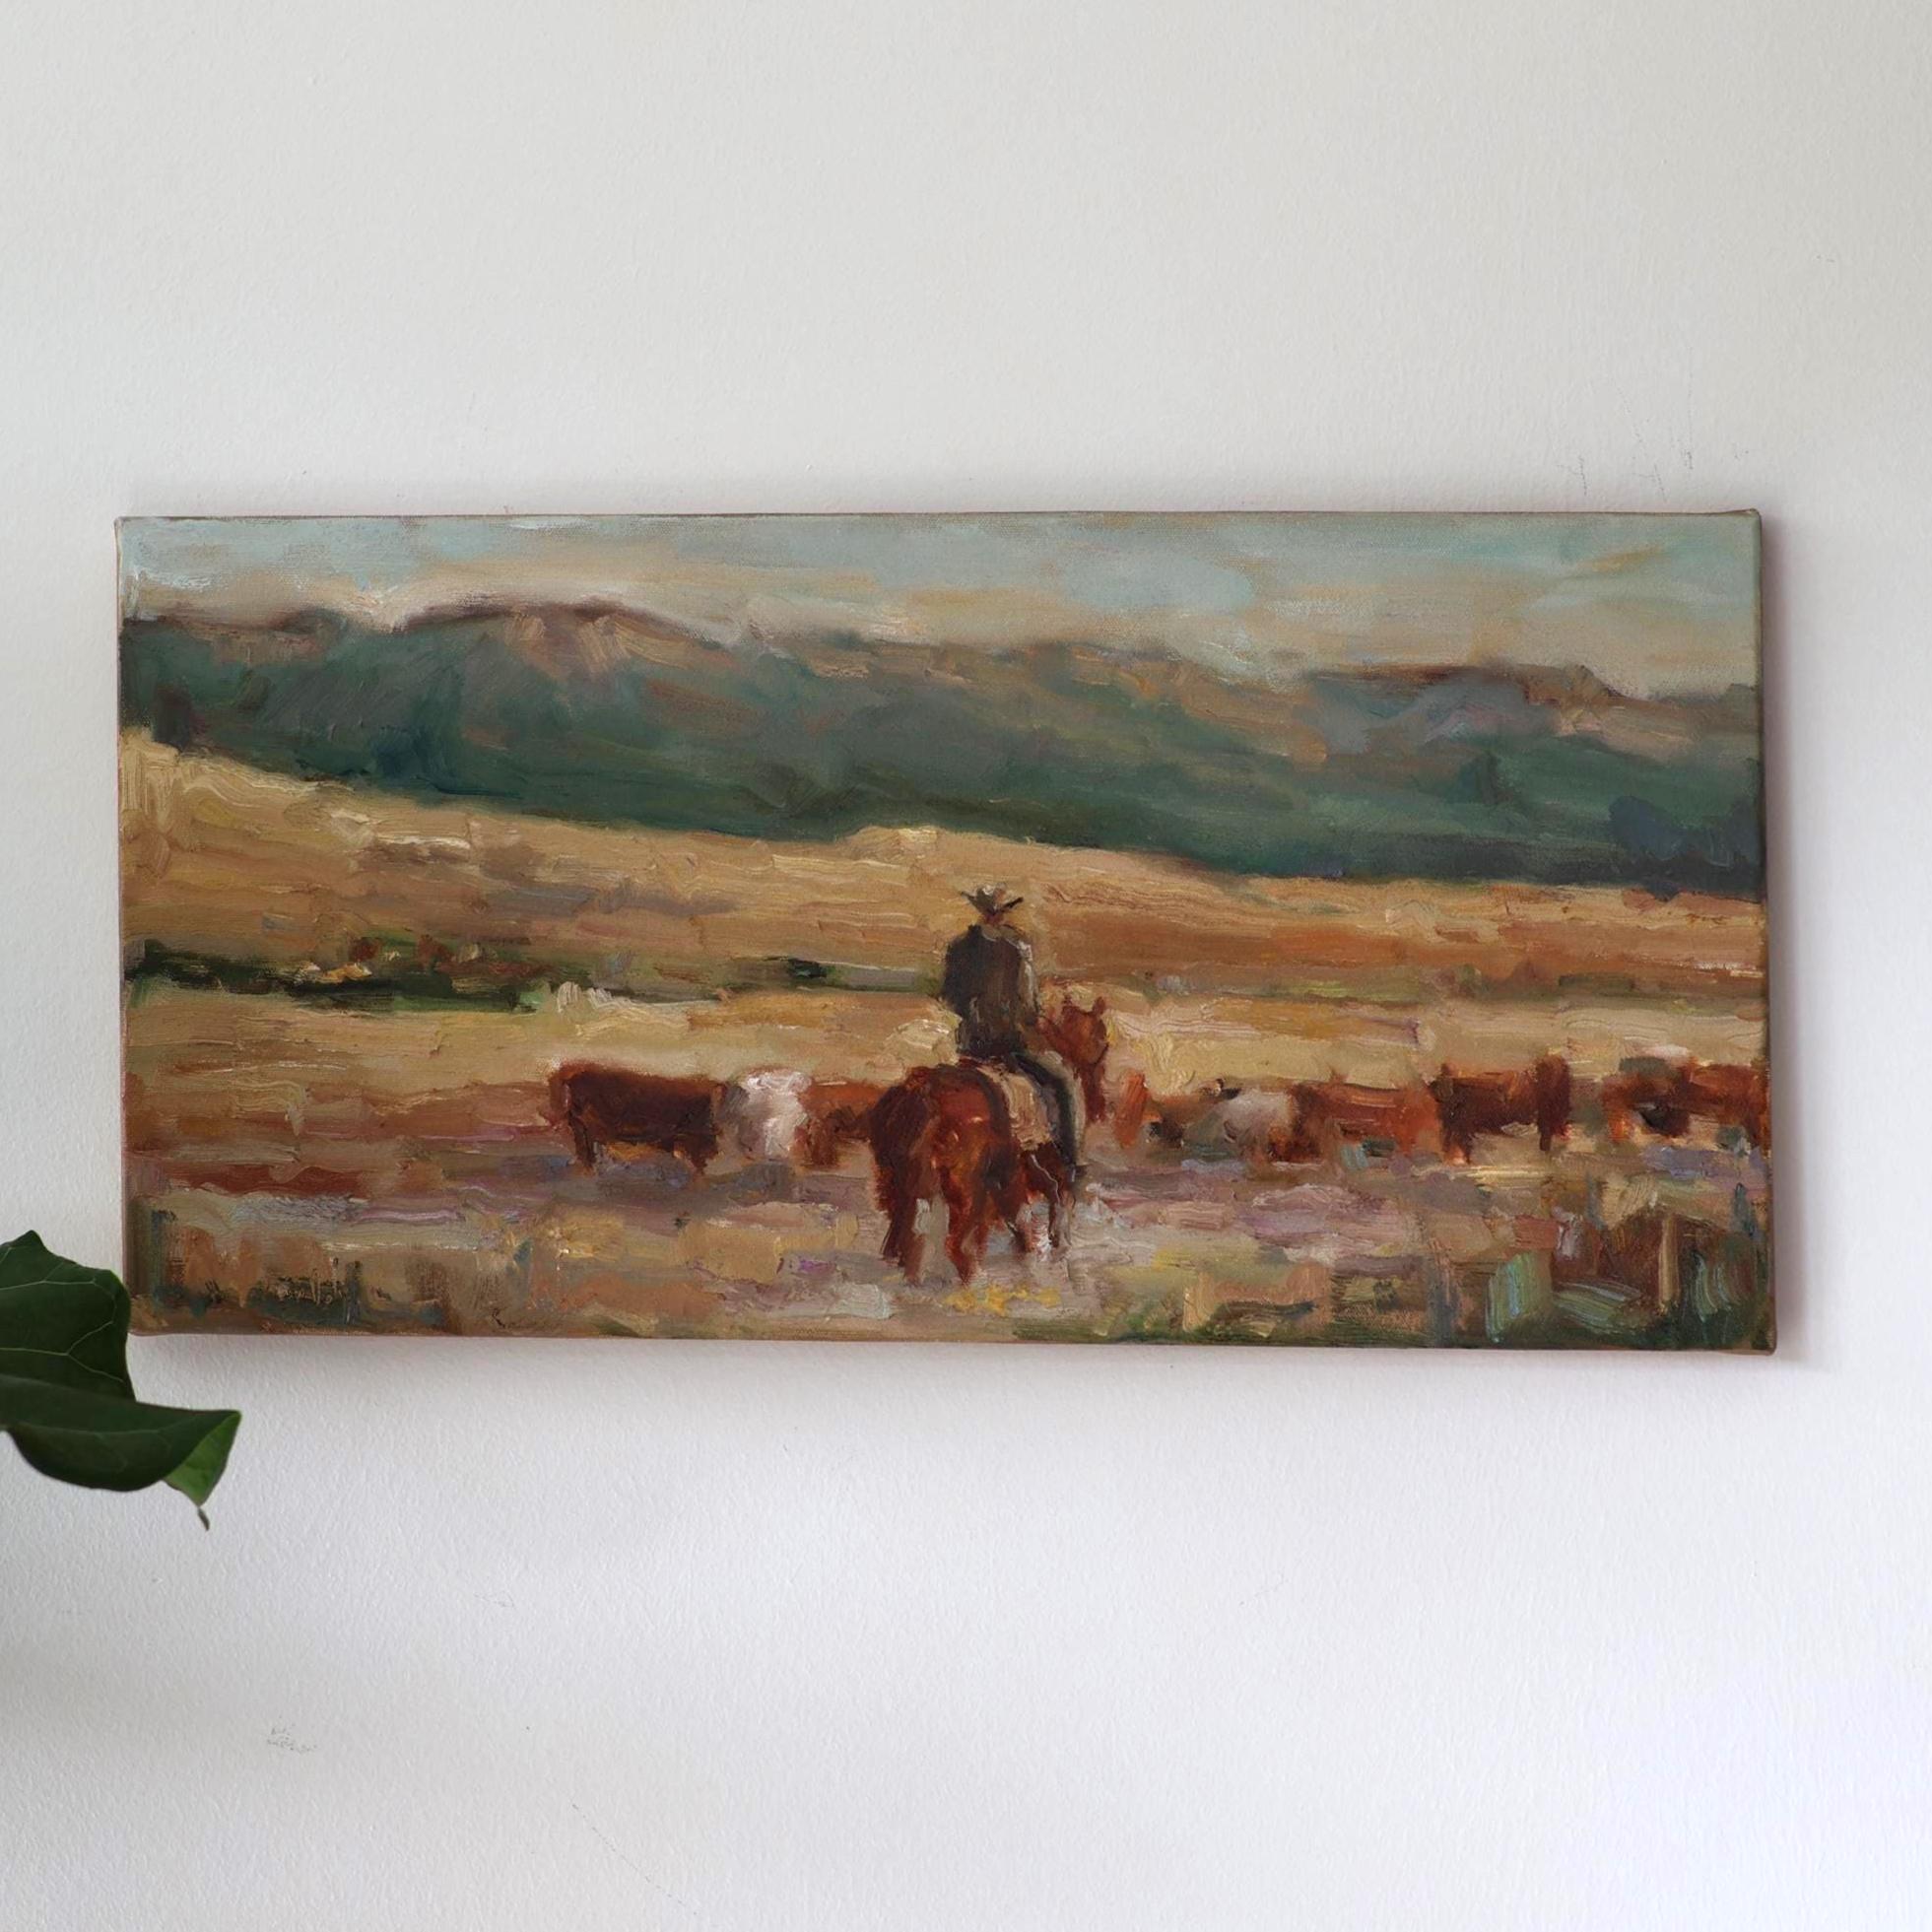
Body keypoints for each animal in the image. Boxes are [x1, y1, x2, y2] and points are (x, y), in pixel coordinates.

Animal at [869, 996, 1110, 1285]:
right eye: (1102, 1040)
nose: (1101, 1103)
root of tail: (925, 1095)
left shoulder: (1014, 1170)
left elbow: (1024, 1213)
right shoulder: (1035, 1164)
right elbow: (1048, 1202)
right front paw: (1054, 1244)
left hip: (901, 1182)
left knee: (901, 1234)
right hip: (967, 1188)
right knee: (955, 1243)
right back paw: (973, 1278)